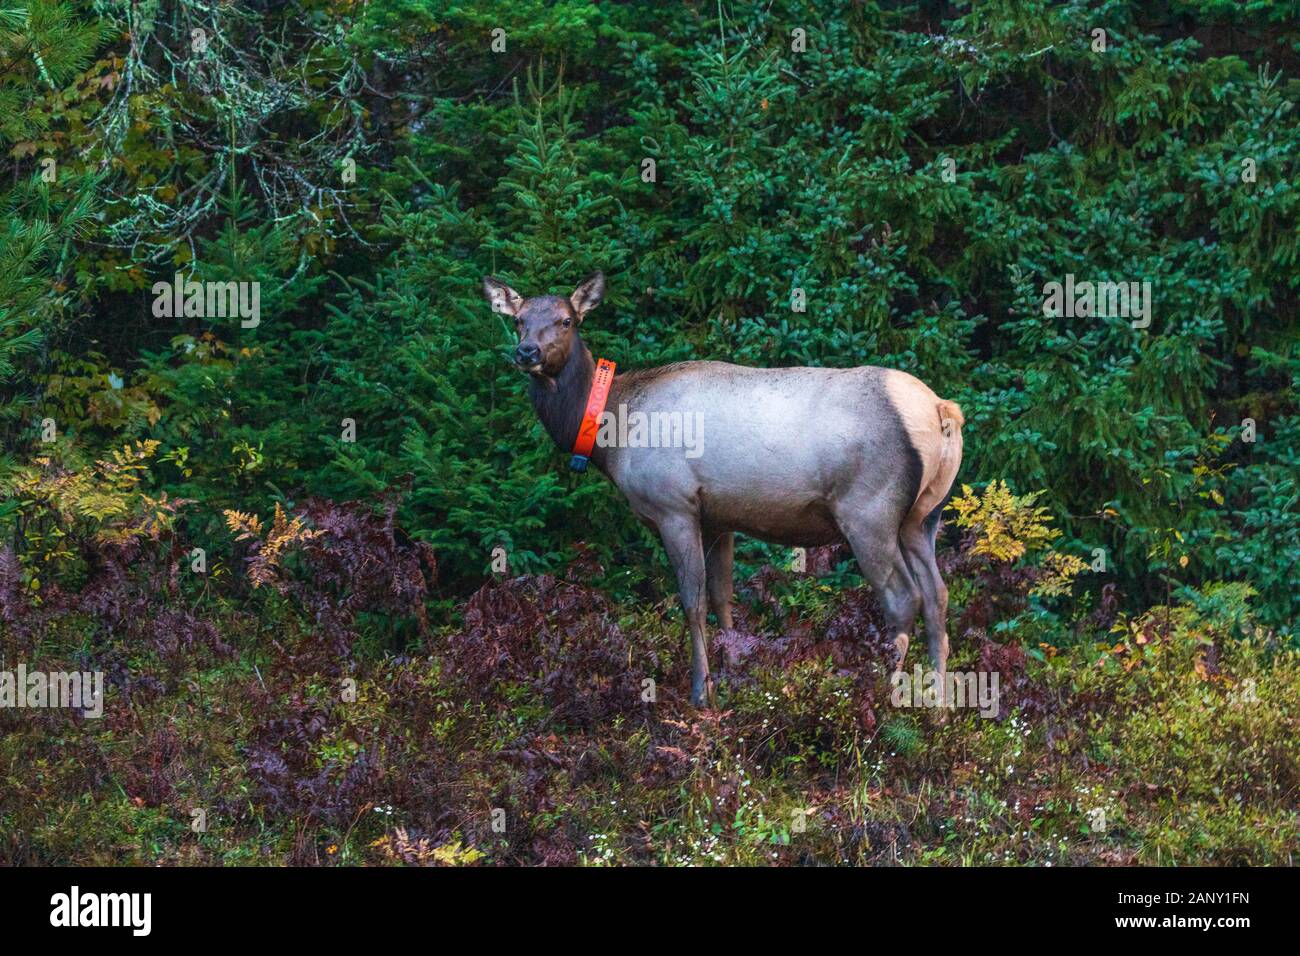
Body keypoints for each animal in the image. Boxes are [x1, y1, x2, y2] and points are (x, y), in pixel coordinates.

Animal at [484, 272, 965, 710]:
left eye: (566, 320)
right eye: (520, 320)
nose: (525, 352)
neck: (613, 433)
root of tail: (942, 411)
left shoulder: (673, 505)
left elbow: (692, 600)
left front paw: (702, 693)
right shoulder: (719, 517)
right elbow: (723, 598)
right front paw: (735, 678)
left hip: (868, 508)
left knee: (903, 597)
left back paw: (887, 700)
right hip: (923, 515)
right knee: (937, 594)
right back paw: (939, 708)